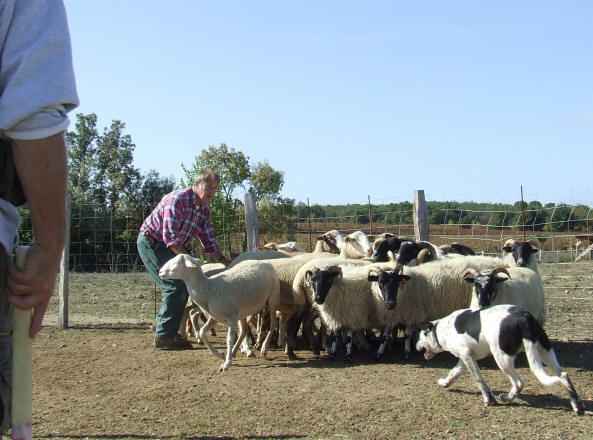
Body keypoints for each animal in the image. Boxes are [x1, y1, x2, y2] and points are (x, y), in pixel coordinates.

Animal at [416, 304, 584, 414]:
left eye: (419, 336)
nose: (417, 347)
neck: (440, 330)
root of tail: (523, 317)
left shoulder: (466, 355)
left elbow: (478, 379)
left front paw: (489, 399)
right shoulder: (465, 359)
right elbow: (453, 373)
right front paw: (445, 382)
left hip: (502, 358)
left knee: (519, 383)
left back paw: (507, 397)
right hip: (545, 351)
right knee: (563, 374)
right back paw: (577, 405)